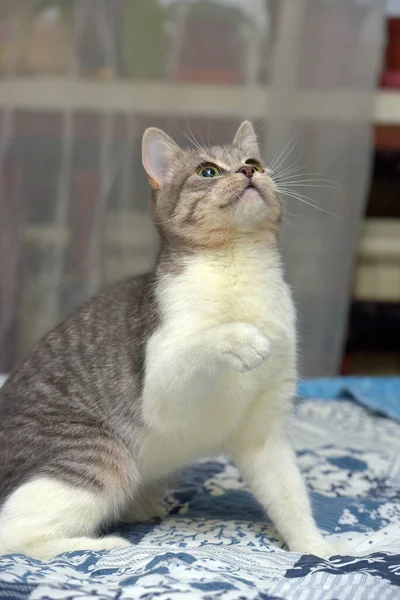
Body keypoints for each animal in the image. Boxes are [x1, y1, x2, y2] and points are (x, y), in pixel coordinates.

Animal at [0, 124, 336, 560]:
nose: (247, 172)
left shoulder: (263, 432)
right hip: (101, 453)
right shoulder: (159, 387)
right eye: (208, 171)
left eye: (254, 163)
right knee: (14, 536)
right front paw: (243, 338)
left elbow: (290, 496)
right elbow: (197, 344)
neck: (238, 265)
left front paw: (319, 548)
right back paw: (102, 544)